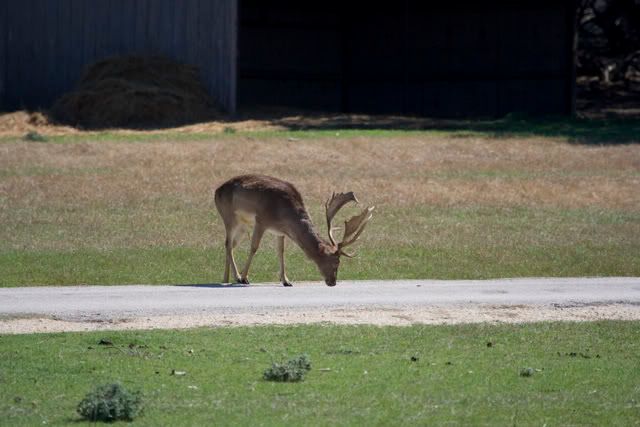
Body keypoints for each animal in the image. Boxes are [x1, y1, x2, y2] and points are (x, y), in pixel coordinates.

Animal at [215, 174, 376, 288]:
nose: (333, 282)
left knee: (231, 245)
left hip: (244, 225)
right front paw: (245, 277)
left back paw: (226, 278)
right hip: (229, 216)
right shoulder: (261, 220)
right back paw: (237, 277)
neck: (284, 214)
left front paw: (286, 280)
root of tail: (216, 191)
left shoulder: (280, 232)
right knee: (227, 244)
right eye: (336, 262)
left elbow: (281, 252)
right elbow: (254, 247)